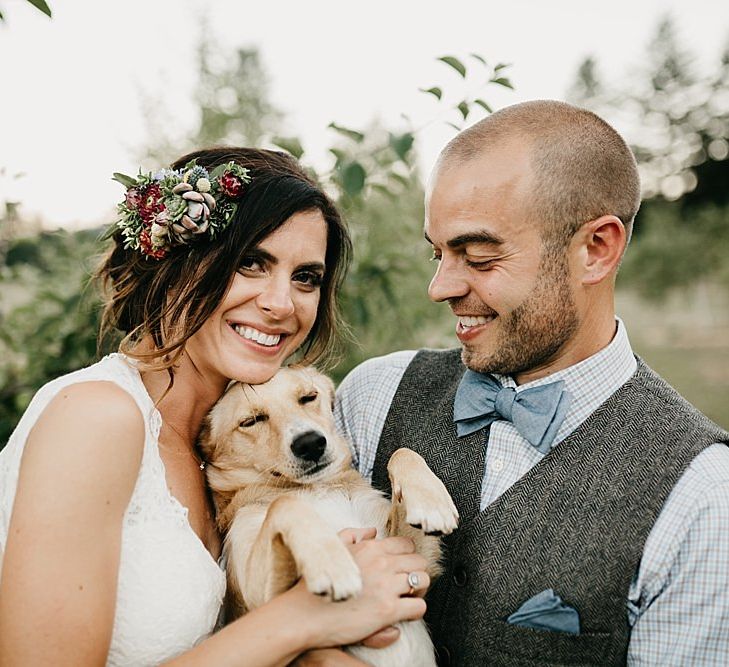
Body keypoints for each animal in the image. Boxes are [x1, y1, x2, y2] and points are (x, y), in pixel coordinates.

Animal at [196, 368, 458, 664]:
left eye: (308, 397)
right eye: (250, 421)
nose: (310, 444)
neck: (314, 487)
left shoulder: (415, 561)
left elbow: (402, 452)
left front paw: (430, 501)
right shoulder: (262, 602)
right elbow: (285, 503)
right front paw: (332, 562)